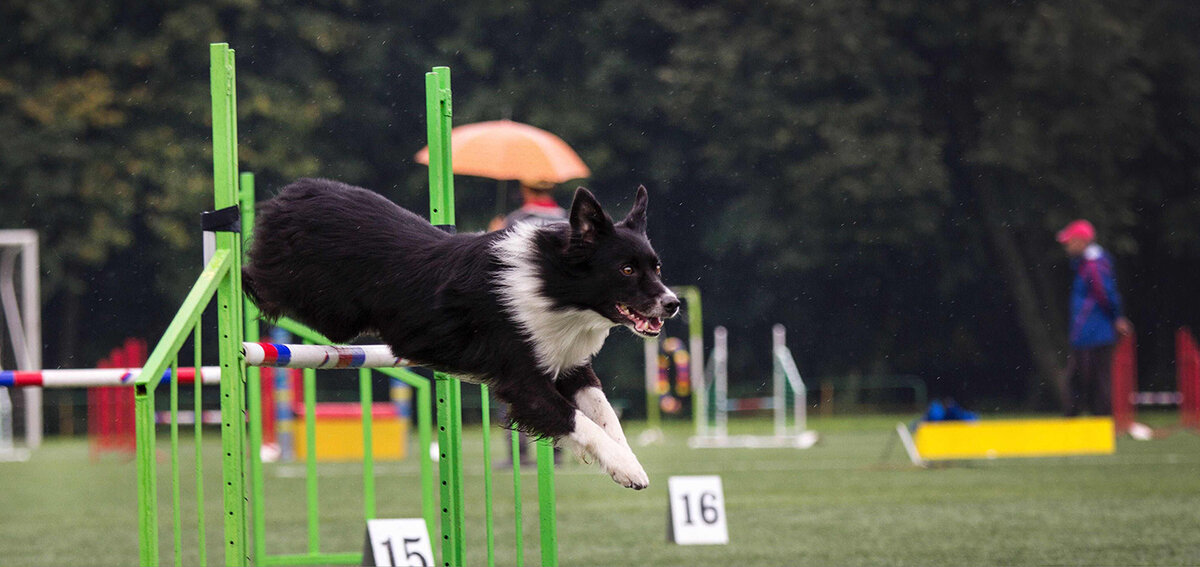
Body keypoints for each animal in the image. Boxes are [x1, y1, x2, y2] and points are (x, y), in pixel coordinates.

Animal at [241, 178, 686, 490]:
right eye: (626, 269)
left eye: (656, 267)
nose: (673, 303)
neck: (552, 286)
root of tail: (295, 192)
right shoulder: (523, 383)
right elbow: (580, 421)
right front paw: (628, 469)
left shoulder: (569, 364)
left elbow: (605, 414)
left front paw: (626, 459)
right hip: (324, 309)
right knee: (250, 278)